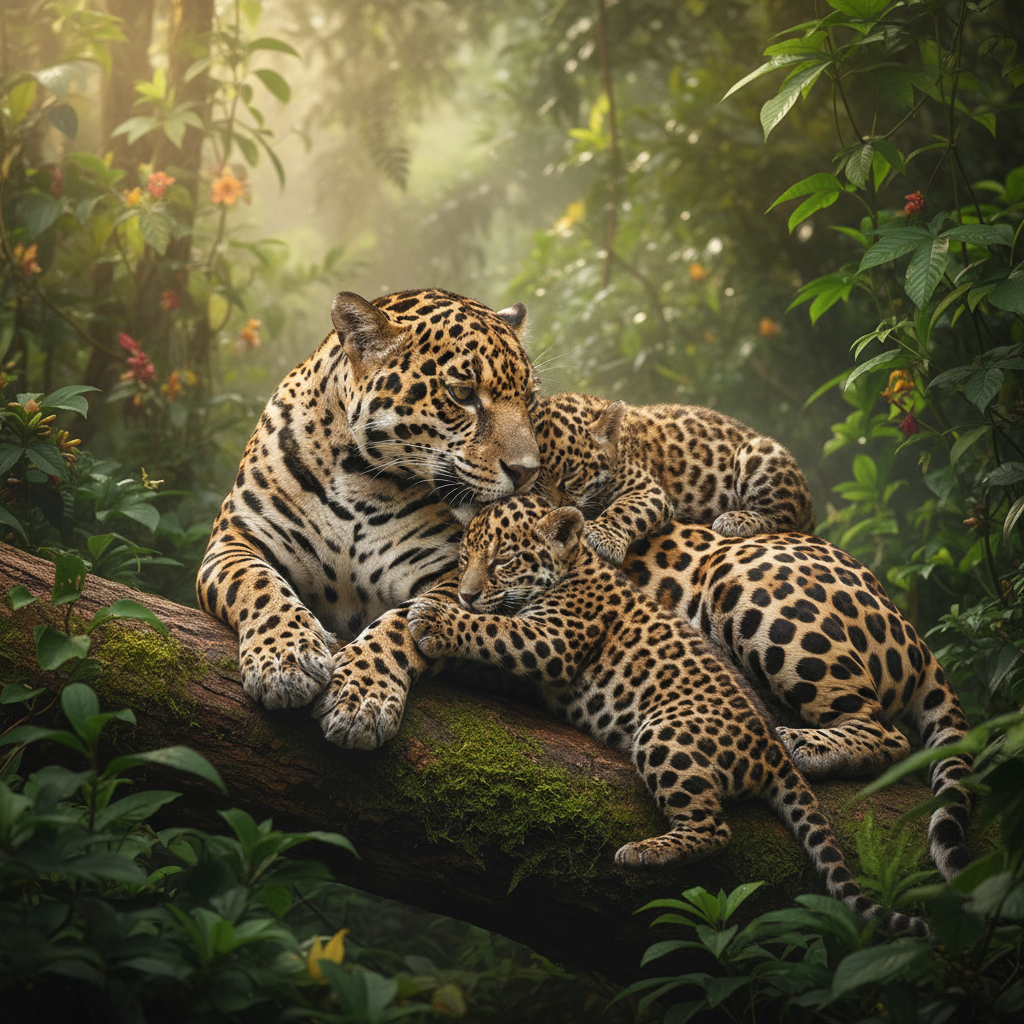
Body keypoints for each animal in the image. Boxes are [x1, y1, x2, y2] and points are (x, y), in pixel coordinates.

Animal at [196, 288, 542, 749]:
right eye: (462, 393)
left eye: (530, 400)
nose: (527, 472)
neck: (362, 481)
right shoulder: (236, 537)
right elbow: (257, 583)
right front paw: (287, 659)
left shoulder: (456, 575)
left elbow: (401, 625)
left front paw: (361, 697)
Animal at [406, 495, 929, 936]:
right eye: (462, 560)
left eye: (502, 561)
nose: (465, 594)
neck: (575, 566)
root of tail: (770, 749)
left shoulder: (555, 639)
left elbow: (495, 628)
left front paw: (435, 617)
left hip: (667, 732)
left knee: (716, 829)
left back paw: (645, 852)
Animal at [530, 391, 816, 565]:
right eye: (534, 484)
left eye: (571, 474)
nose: (554, 512)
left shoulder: (647, 490)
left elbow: (625, 510)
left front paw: (601, 537)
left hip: (757, 452)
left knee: (786, 518)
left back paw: (735, 520)